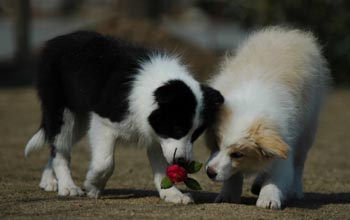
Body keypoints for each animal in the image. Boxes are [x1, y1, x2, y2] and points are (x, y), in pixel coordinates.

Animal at [24, 30, 224, 204]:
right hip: (63, 112)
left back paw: (49, 180)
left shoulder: (157, 133)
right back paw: (67, 187)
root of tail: (57, 40)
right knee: (60, 147)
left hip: (79, 122)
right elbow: (105, 163)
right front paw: (93, 186)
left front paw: (172, 194)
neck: (153, 89)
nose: (183, 162)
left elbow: (162, 165)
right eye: (177, 128)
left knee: (55, 145)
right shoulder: (103, 121)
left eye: (196, 134)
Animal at [204, 27, 330, 210]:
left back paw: (295, 190)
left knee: (299, 164)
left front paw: (269, 197)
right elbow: (233, 174)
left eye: (238, 154)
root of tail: (290, 33)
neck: (251, 106)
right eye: (215, 144)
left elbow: (276, 176)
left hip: (307, 132)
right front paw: (228, 194)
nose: (210, 172)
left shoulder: (284, 144)